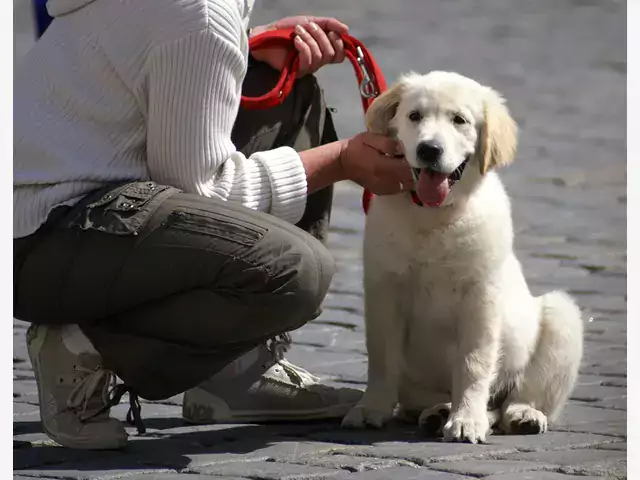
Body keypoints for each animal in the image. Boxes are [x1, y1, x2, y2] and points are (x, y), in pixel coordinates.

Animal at [344, 70, 584, 442]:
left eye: (459, 120)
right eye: (414, 116)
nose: (429, 149)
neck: (433, 217)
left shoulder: (480, 296)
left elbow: (474, 362)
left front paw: (467, 420)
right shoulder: (385, 289)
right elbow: (381, 357)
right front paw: (371, 408)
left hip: (561, 318)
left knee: (515, 398)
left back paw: (520, 415)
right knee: (423, 401)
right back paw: (437, 411)